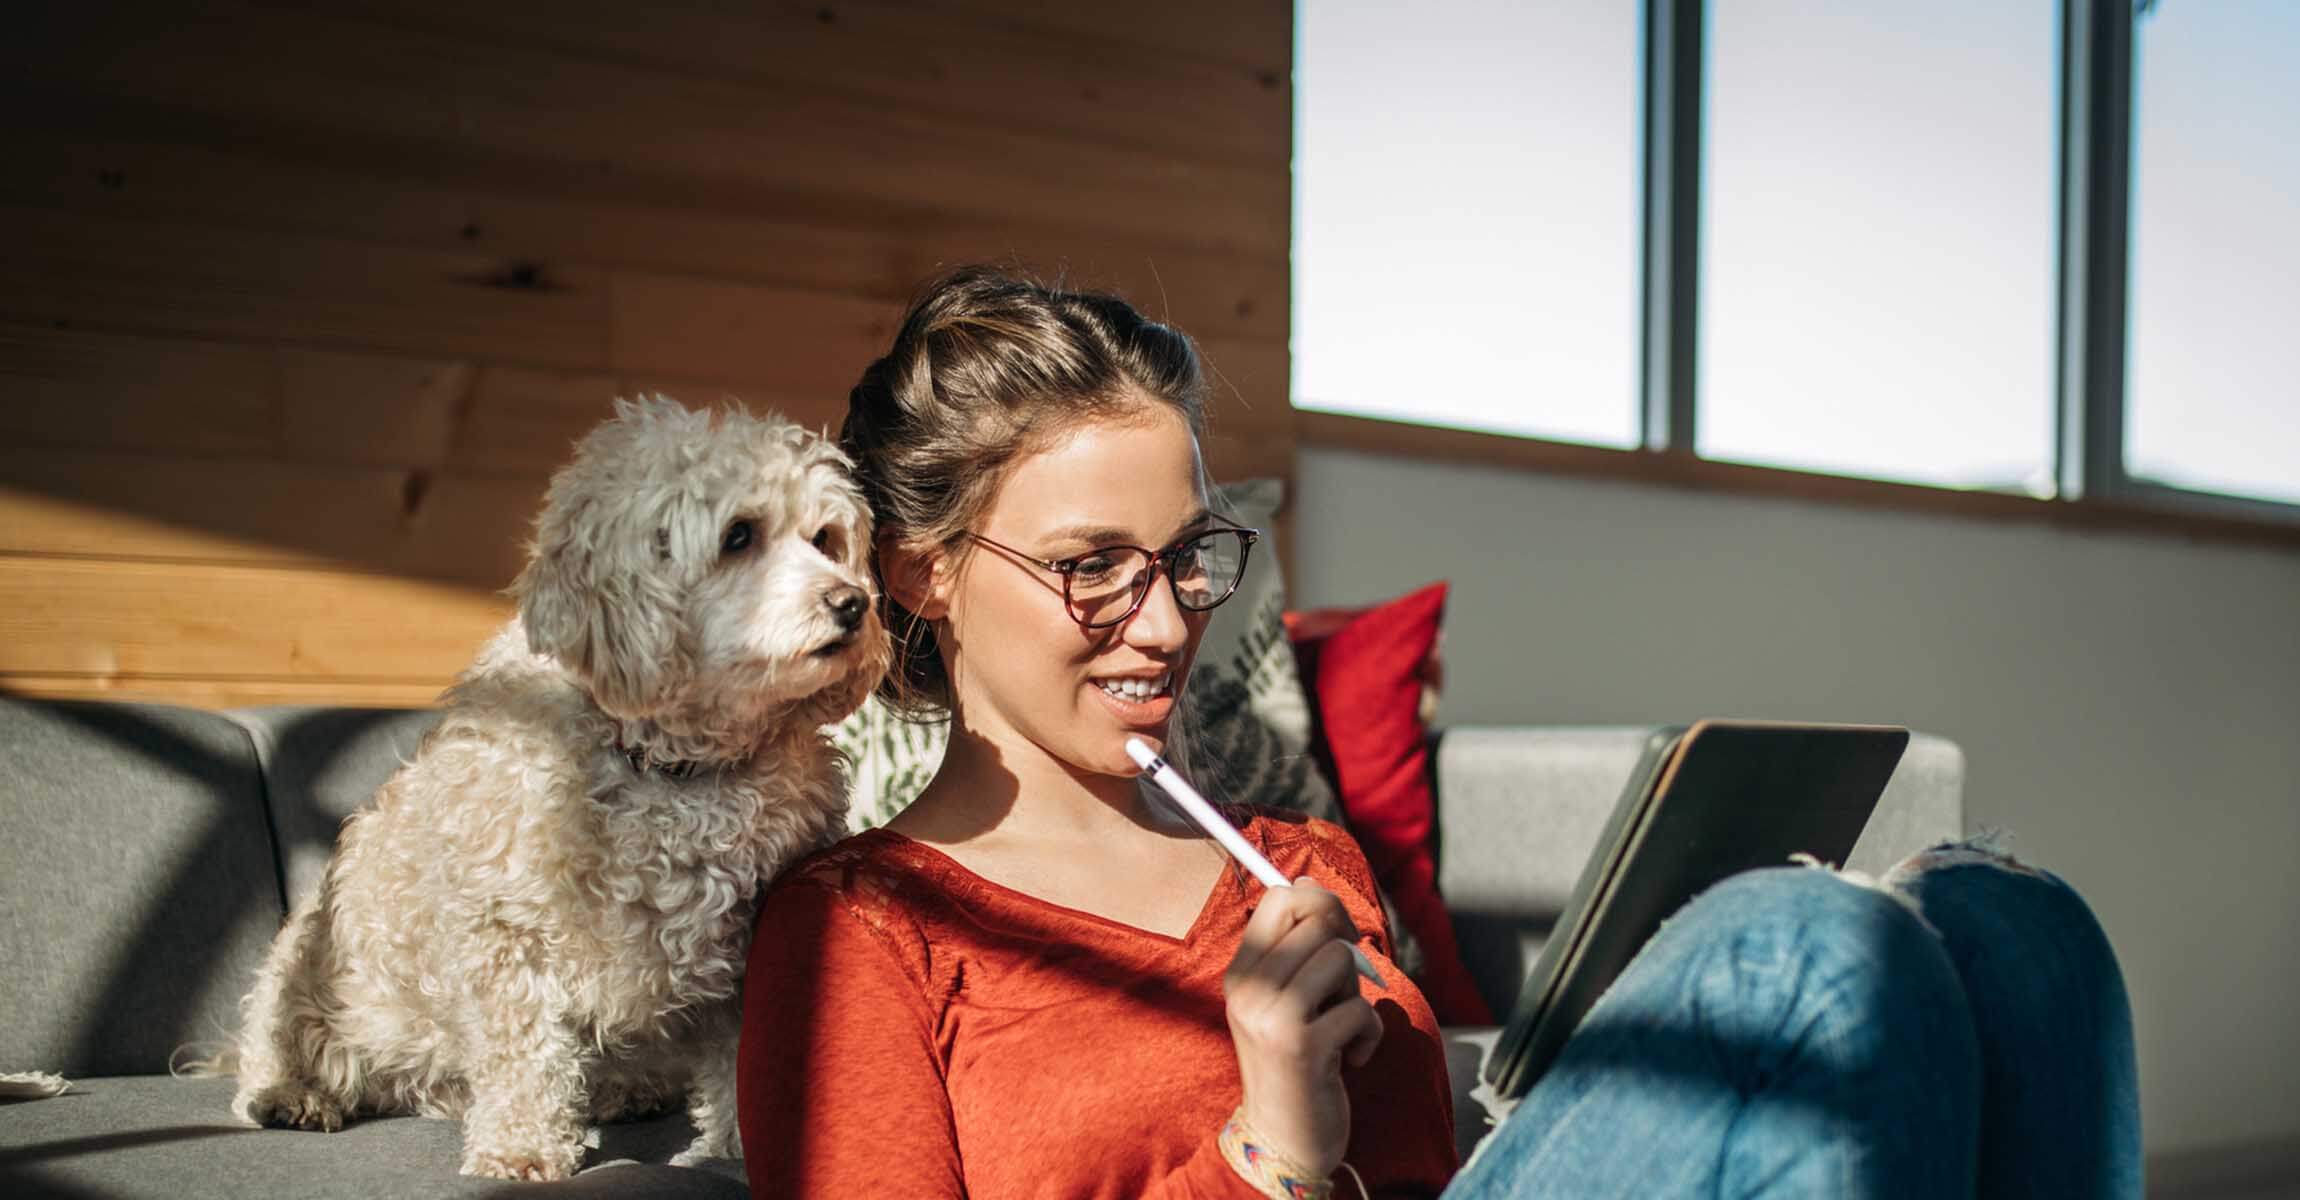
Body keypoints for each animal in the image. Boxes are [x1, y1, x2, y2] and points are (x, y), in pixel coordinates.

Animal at [226, 395, 887, 1177]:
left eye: (826, 538)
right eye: (739, 536)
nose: (853, 603)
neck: (674, 772)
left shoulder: (754, 938)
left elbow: (742, 1060)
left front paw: (737, 1153)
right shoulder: (506, 932)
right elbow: (523, 1051)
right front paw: (520, 1149)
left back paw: (624, 1091)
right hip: (306, 963)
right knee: (281, 1043)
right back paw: (292, 1095)